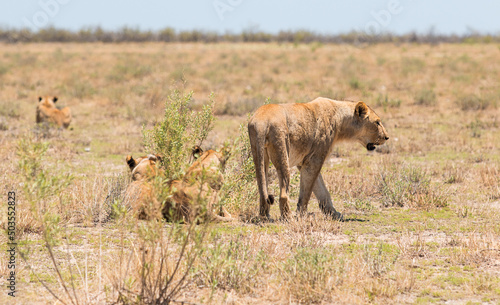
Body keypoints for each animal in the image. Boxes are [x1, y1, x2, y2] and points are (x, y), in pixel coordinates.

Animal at [248, 98, 388, 220]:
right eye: (377, 122)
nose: (387, 137)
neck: (340, 120)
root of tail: (262, 121)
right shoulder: (313, 160)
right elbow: (307, 193)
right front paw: (301, 215)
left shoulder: (304, 161)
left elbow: (321, 190)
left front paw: (334, 214)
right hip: (282, 152)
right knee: (283, 194)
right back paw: (288, 218)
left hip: (259, 155)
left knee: (262, 188)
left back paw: (264, 216)